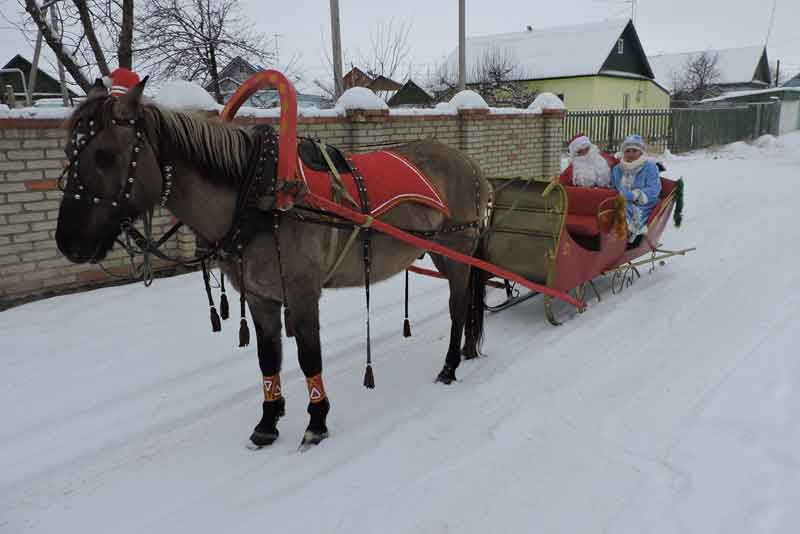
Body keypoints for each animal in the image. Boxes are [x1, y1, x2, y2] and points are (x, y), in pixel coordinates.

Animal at [54, 78, 488, 448]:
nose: (68, 242)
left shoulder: (302, 293)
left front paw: (316, 421)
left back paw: (450, 365)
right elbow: (268, 357)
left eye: (105, 155)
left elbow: (308, 356)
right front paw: (268, 420)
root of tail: (469, 163)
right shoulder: (260, 297)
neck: (259, 196)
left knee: (458, 305)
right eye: (69, 152)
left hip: (456, 251)